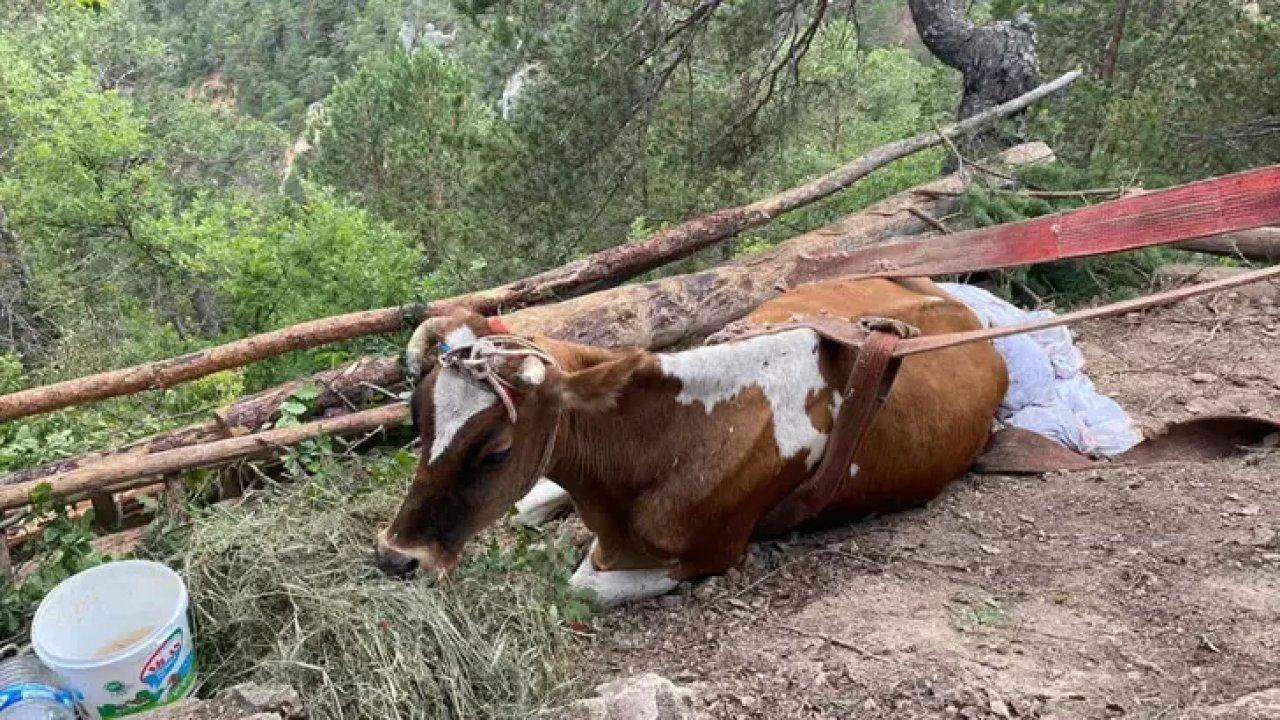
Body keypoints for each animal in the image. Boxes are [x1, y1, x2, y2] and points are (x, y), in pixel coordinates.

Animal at [373, 278, 1003, 602]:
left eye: (496, 451)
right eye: (418, 419)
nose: (394, 557)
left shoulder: (713, 552)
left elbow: (582, 586)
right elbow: (530, 512)